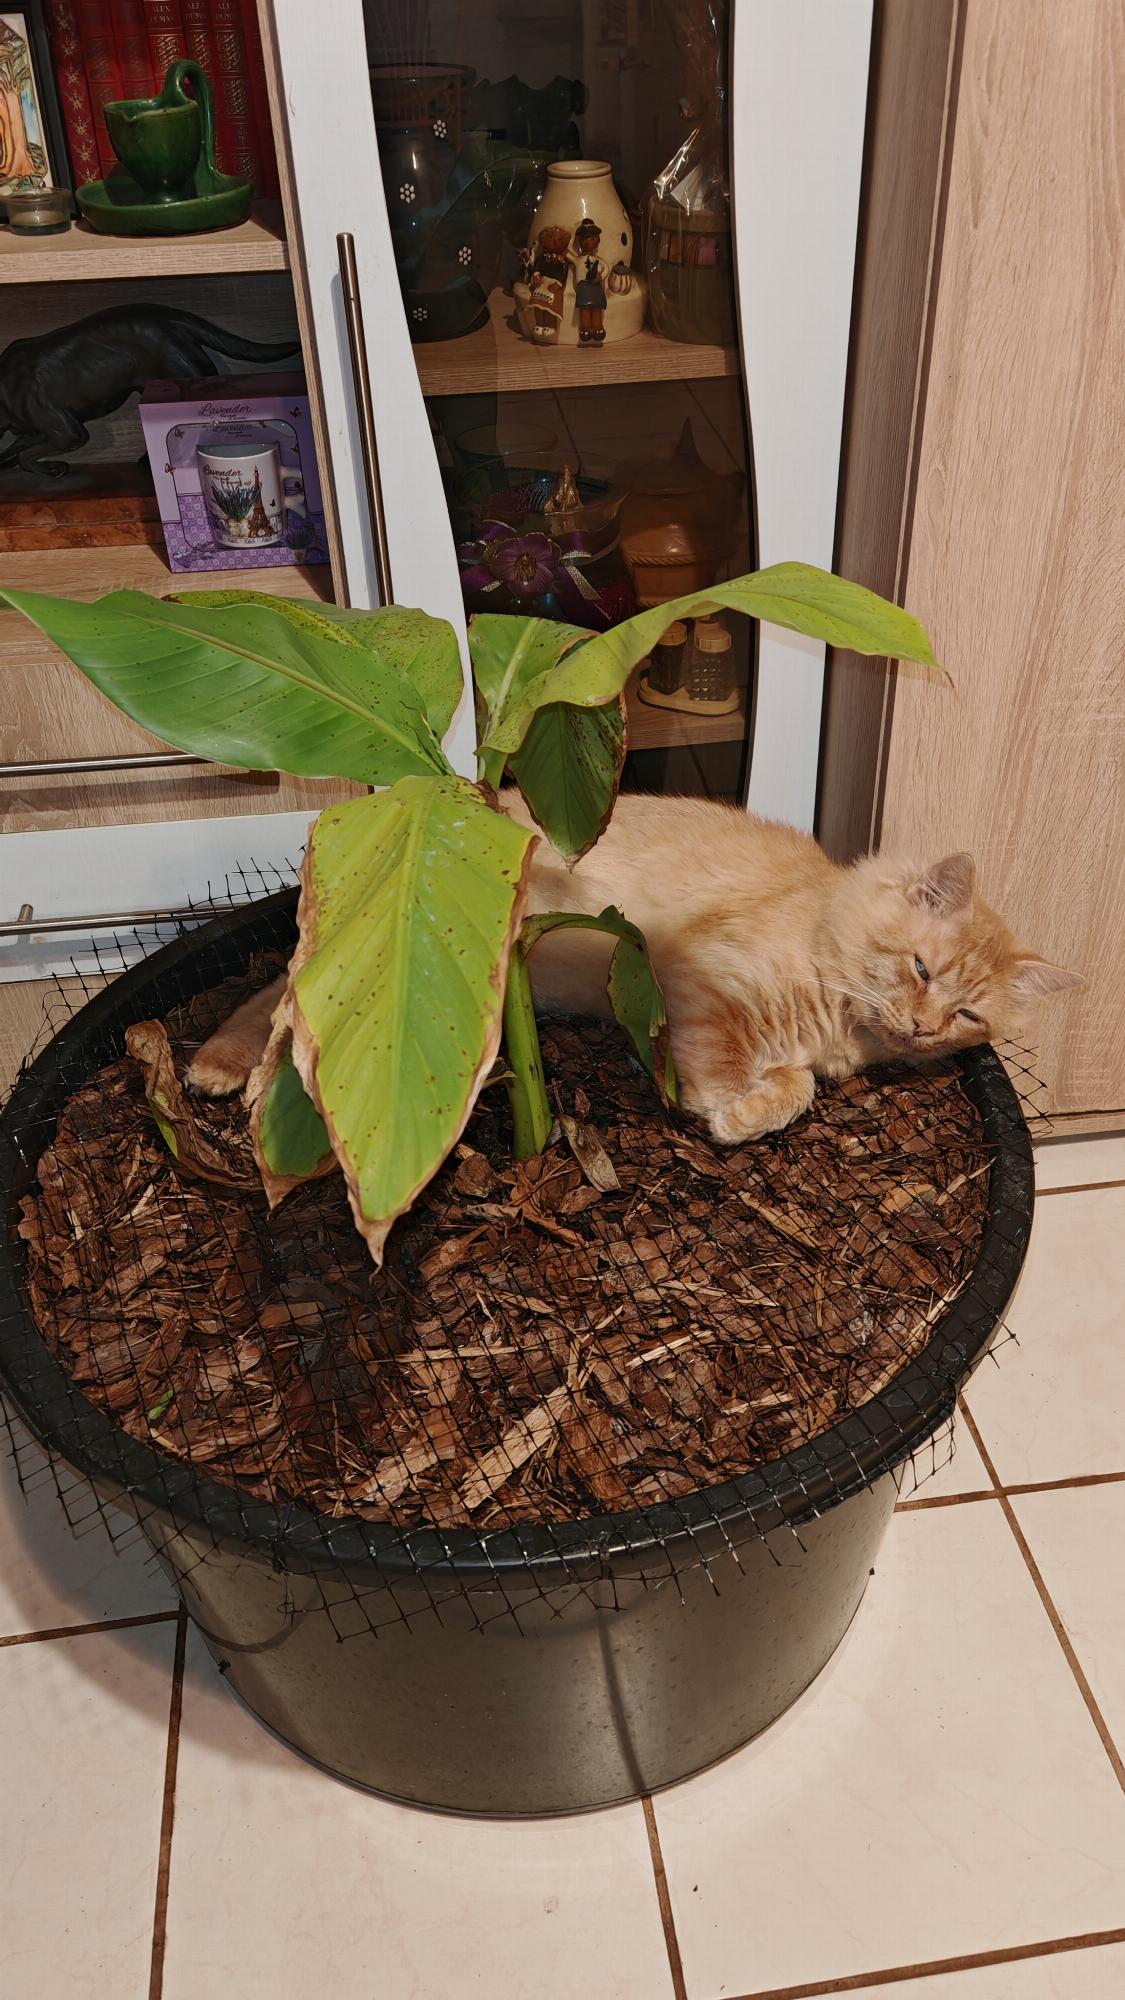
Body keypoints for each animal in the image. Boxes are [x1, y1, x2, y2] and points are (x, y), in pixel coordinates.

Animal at [186, 794, 1082, 1143]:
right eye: (922, 969)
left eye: (967, 1015)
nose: (924, 1028)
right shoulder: (697, 984)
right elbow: (739, 1077)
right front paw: (730, 1113)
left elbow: (797, 1083)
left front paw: (763, 1102)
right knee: (281, 1007)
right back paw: (235, 1074)